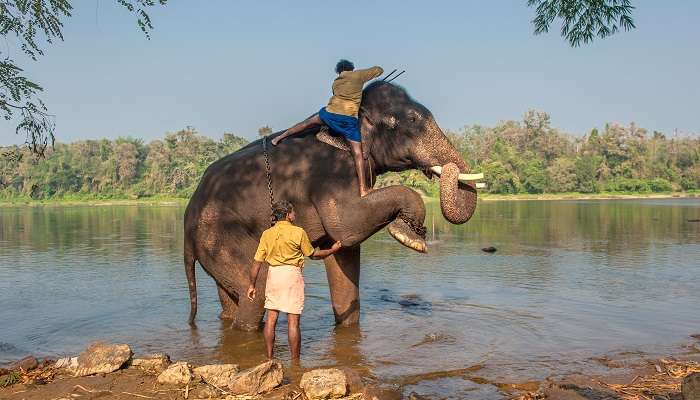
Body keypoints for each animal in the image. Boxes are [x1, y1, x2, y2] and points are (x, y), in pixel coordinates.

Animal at [185, 82, 482, 332]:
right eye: (412, 120)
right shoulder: (333, 175)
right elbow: (345, 225)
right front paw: (410, 237)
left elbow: (345, 251)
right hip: (220, 236)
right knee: (255, 293)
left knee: (229, 299)